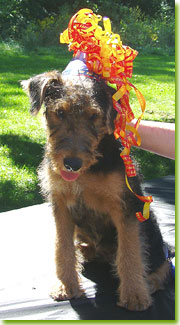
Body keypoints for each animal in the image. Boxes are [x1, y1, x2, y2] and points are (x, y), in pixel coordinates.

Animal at [21, 57, 170, 310]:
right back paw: (85, 251)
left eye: (93, 115)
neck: (87, 172)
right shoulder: (60, 204)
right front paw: (66, 286)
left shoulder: (125, 207)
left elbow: (130, 252)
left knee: (162, 261)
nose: (71, 164)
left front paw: (134, 295)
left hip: (150, 226)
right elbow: (62, 248)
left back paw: (149, 282)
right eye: (60, 112)